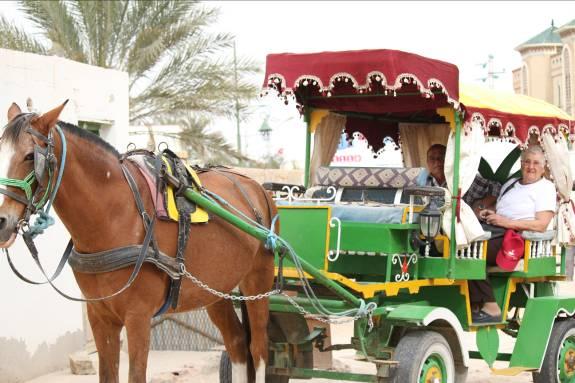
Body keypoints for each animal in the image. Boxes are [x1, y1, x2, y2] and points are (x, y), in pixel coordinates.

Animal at [0, 103, 276, 383]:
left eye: (29, 157)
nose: (1, 221)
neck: (116, 214)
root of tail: (256, 187)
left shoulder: (138, 317)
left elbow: (136, 374)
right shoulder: (100, 316)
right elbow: (107, 374)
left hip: (257, 281)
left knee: (259, 349)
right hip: (215, 289)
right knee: (237, 343)